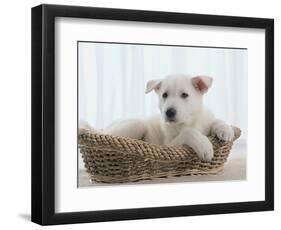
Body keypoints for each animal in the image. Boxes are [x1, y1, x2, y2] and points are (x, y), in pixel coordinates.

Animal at [84, 74, 233, 161]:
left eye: (184, 95)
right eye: (164, 95)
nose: (169, 112)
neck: (189, 121)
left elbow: (215, 121)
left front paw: (226, 130)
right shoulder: (169, 145)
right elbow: (188, 132)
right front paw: (204, 146)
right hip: (135, 125)